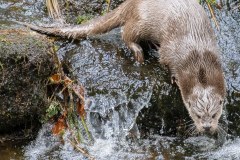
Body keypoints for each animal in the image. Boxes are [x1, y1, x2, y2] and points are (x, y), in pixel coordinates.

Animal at [15, 0, 226, 133]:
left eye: (215, 114)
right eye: (197, 115)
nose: (207, 127)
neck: (197, 56)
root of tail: (131, 3)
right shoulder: (171, 51)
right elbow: (166, 61)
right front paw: (173, 78)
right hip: (142, 21)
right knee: (126, 33)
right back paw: (139, 53)